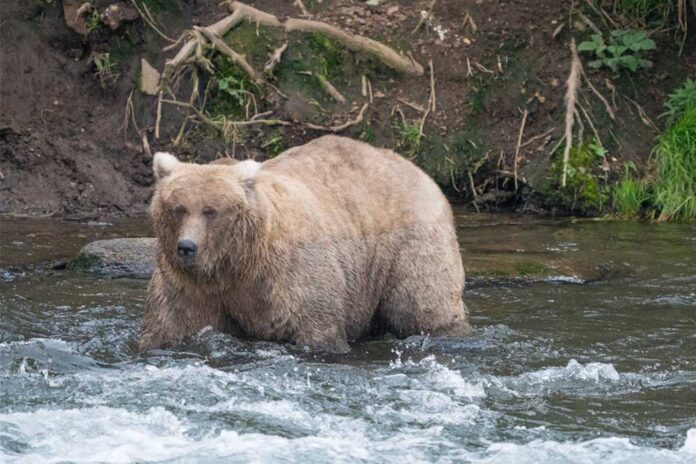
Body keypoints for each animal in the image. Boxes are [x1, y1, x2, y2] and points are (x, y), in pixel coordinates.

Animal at [139, 135, 469, 353]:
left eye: (211, 210)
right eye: (178, 208)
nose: (187, 247)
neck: (236, 264)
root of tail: (418, 169)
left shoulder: (289, 275)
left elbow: (317, 327)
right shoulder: (190, 286)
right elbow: (171, 325)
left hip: (410, 243)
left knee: (423, 304)